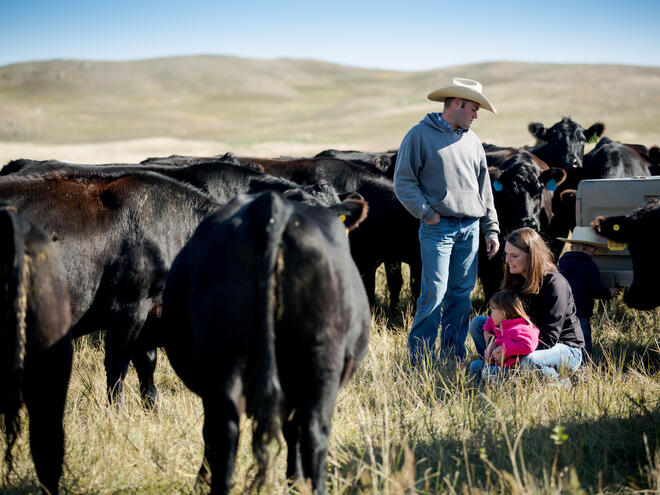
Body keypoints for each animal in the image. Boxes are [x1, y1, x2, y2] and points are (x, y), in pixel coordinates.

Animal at [160, 192, 372, 494]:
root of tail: (270, 205)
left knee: (224, 431)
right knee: (314, 432)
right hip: (322, 360)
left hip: (226, 358)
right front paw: (295, 479)